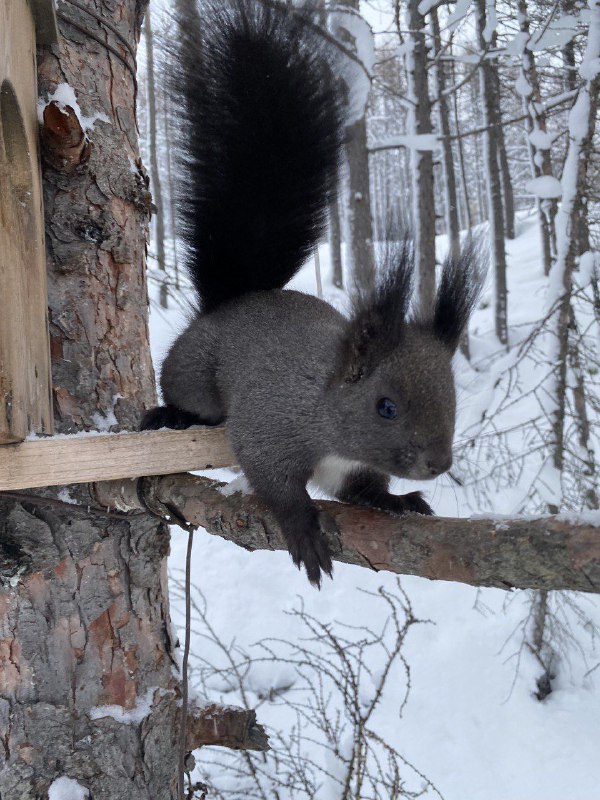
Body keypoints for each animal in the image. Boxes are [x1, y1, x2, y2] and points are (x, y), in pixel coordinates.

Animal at [143, 0, 486, 588]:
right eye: (386, 406)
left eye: (453, 396)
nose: (438, 464)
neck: (329, 415)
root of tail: (232, 302)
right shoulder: (270, 424)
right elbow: (275, 483)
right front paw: (302, 528)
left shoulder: (350, 468)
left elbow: (362, 491)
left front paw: (398, 501)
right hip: (195, 376)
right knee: (189, 399)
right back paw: (173, 416)